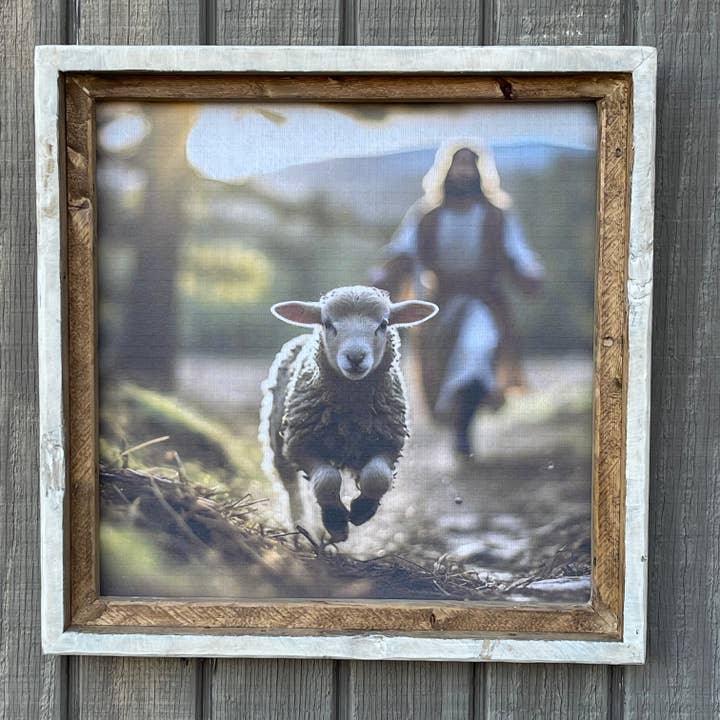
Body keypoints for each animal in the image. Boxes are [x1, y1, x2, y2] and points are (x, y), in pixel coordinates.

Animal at [259, 286, 438, 542]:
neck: (350, 415)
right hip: (278, 440)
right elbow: (326, 481)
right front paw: (335, 521)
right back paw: (301, 527)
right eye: (327, 323)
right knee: (291, 487)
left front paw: (362, 509)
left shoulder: (388, 442)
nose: (355, 358)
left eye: (383, 324)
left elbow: (377, 477)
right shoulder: (301, 444)